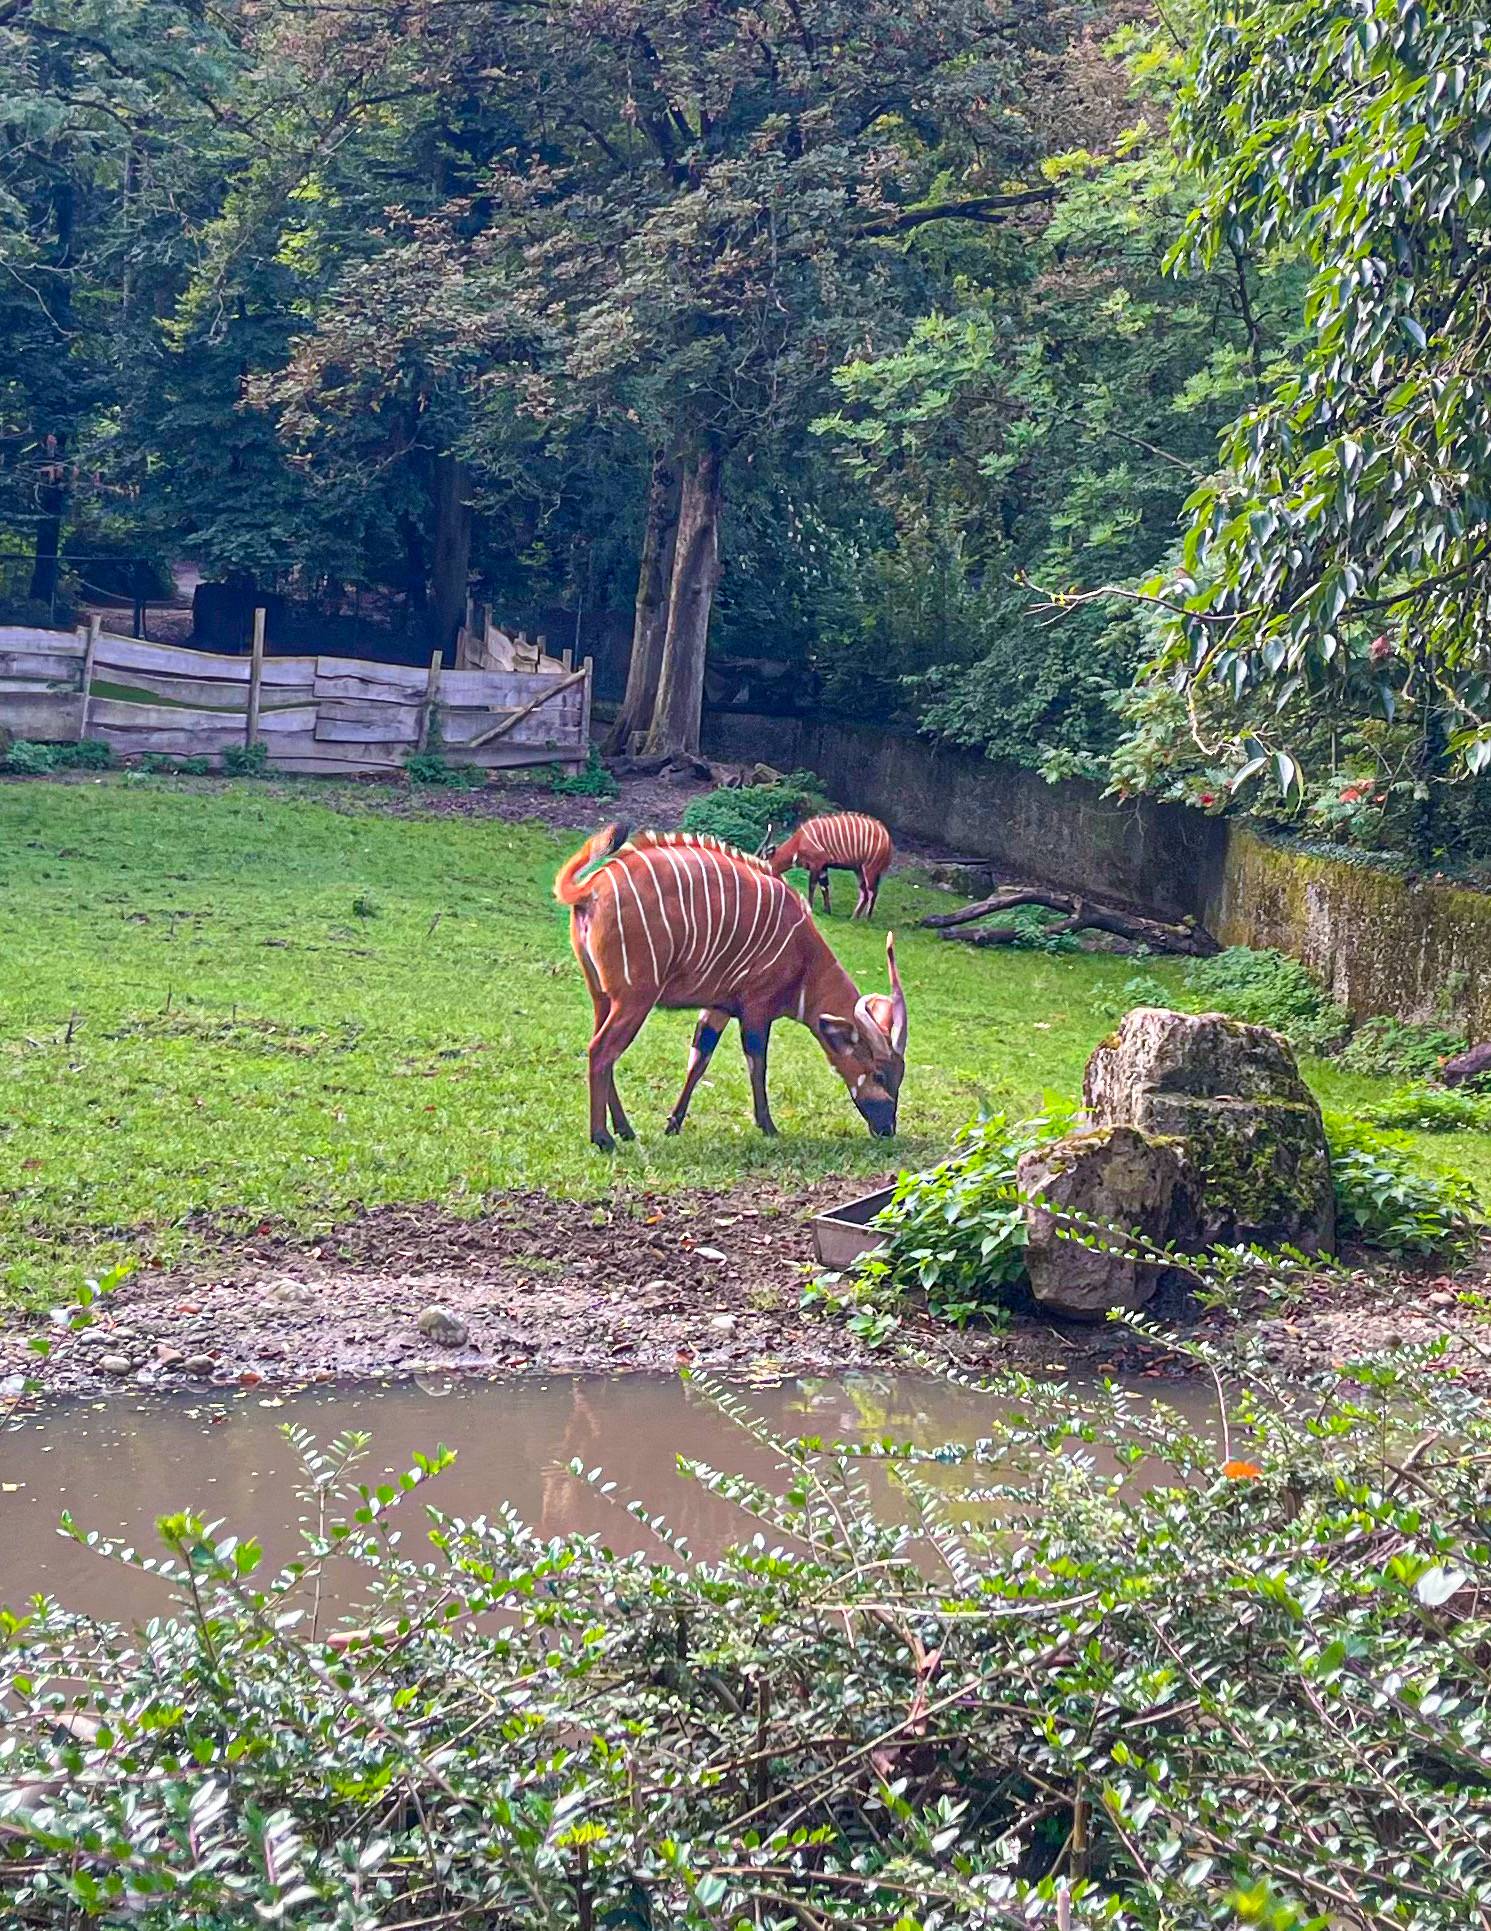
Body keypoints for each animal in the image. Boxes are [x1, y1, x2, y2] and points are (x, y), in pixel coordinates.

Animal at [555, 822, 908, 1150]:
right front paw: (769, 1127)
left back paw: (625, 1130)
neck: (805, 958)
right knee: (600, 1051)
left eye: (899, 1076)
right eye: (878, 1073)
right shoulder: (756, 1009)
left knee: (602, 1050)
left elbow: (698, 1060)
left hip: (603, 997)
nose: (887, 1129)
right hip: (634, 999)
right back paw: (603, 1138)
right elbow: (757, 1063)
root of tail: (591, 887)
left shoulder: (718, 1008)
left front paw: (673, 1124)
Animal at [764, 811, 894, 920]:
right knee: (865, 892)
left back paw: (867, 918)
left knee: (873, 891)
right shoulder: (823, 867)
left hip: (870, 868)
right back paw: (854, 917)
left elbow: (812, 885)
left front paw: (810, 907)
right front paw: (827, 910)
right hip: (859, 870)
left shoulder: (816, 864)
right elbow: (824, 886)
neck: (800, 840)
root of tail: (888, 839)